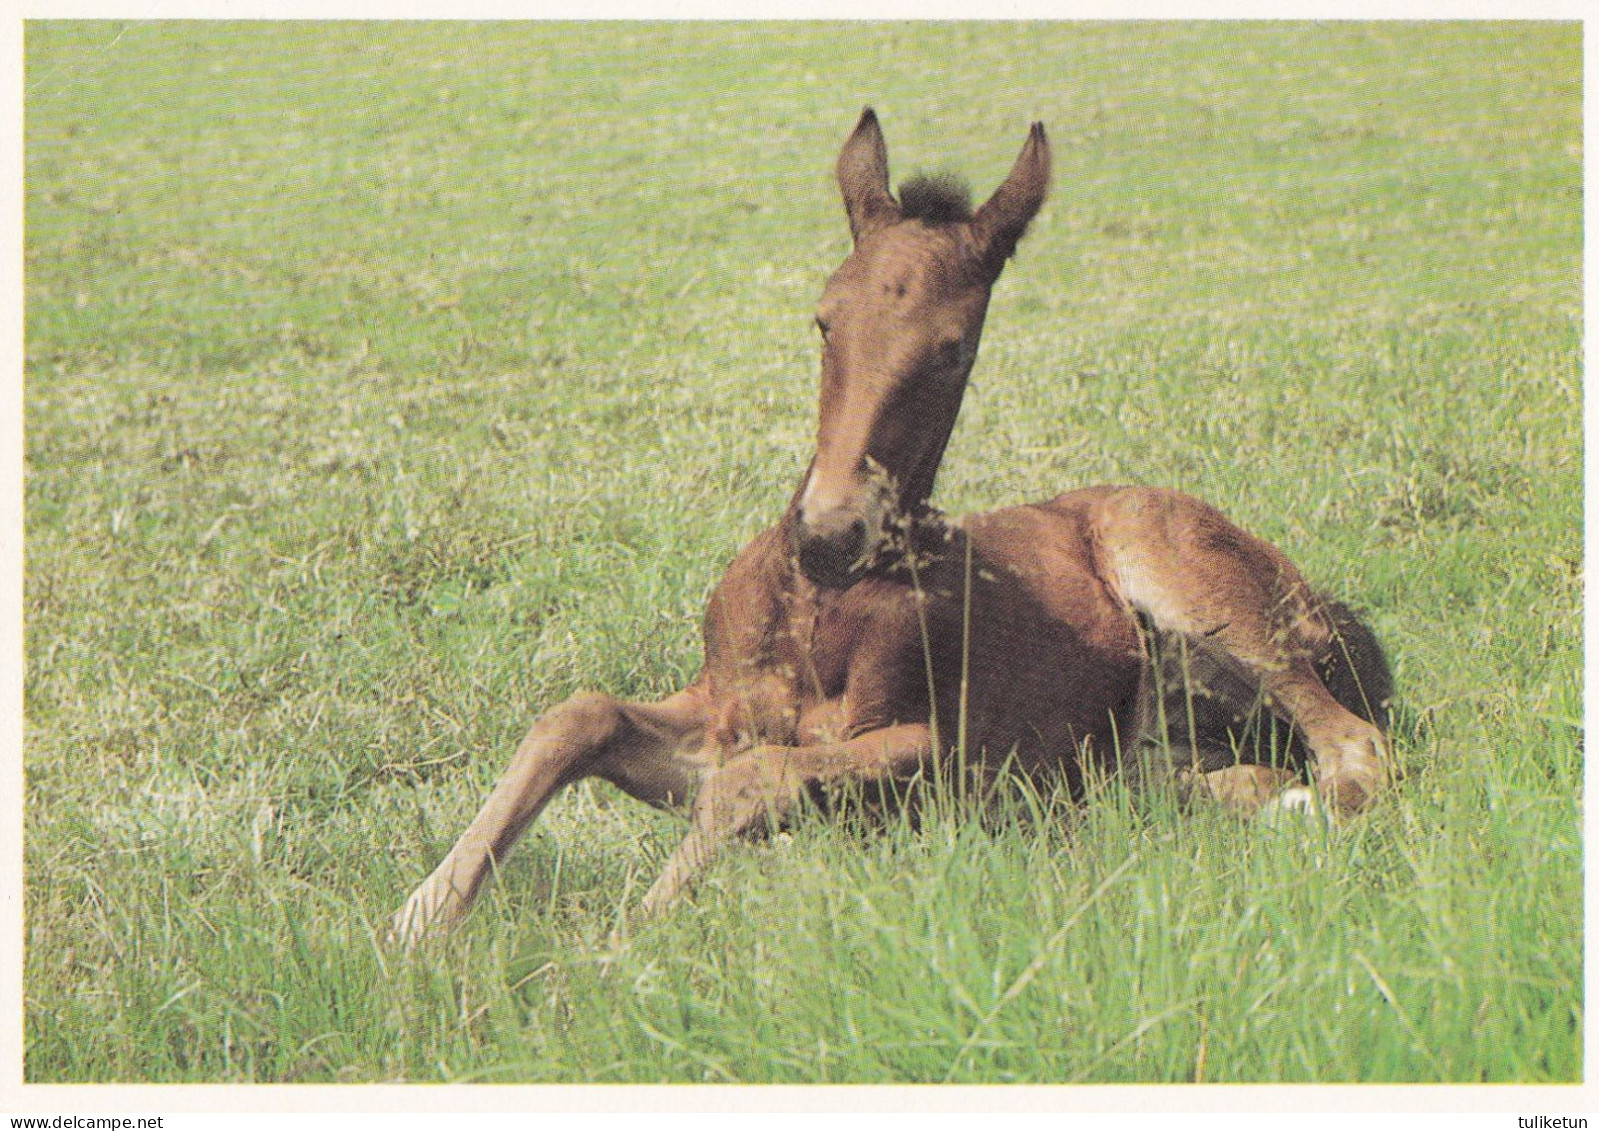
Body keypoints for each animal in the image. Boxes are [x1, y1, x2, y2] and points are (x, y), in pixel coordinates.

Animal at [393, 110, 1394, 947]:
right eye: (824, 318)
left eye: (952, 346)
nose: (828, 529)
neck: (817, 608)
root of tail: (1319, 599)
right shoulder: (713, 716)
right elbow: (579, 714)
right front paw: (418, 918)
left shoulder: (949, 754)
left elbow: (756, 779)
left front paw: (616, 946)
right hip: (1149, 752)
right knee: (1228, 779)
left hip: (1192, 586)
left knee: (1353, 748)